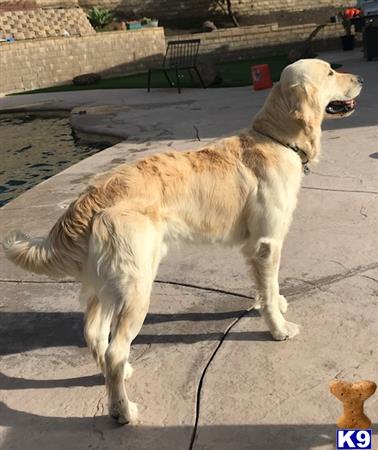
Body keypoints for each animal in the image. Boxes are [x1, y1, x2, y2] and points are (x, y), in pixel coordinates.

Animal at [2, 59, 364, 426]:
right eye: (330, 73)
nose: (360, 77)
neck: (275, 139)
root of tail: (90, 196)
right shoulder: (267, 242)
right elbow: (269, 286)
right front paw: (279, 328)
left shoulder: (257, 247)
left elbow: (267, 287)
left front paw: (274, 302)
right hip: (137, 286)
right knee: (115, 348)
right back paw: (123, 410)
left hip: (106, 284)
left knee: (95, 335)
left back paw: (115, 377)